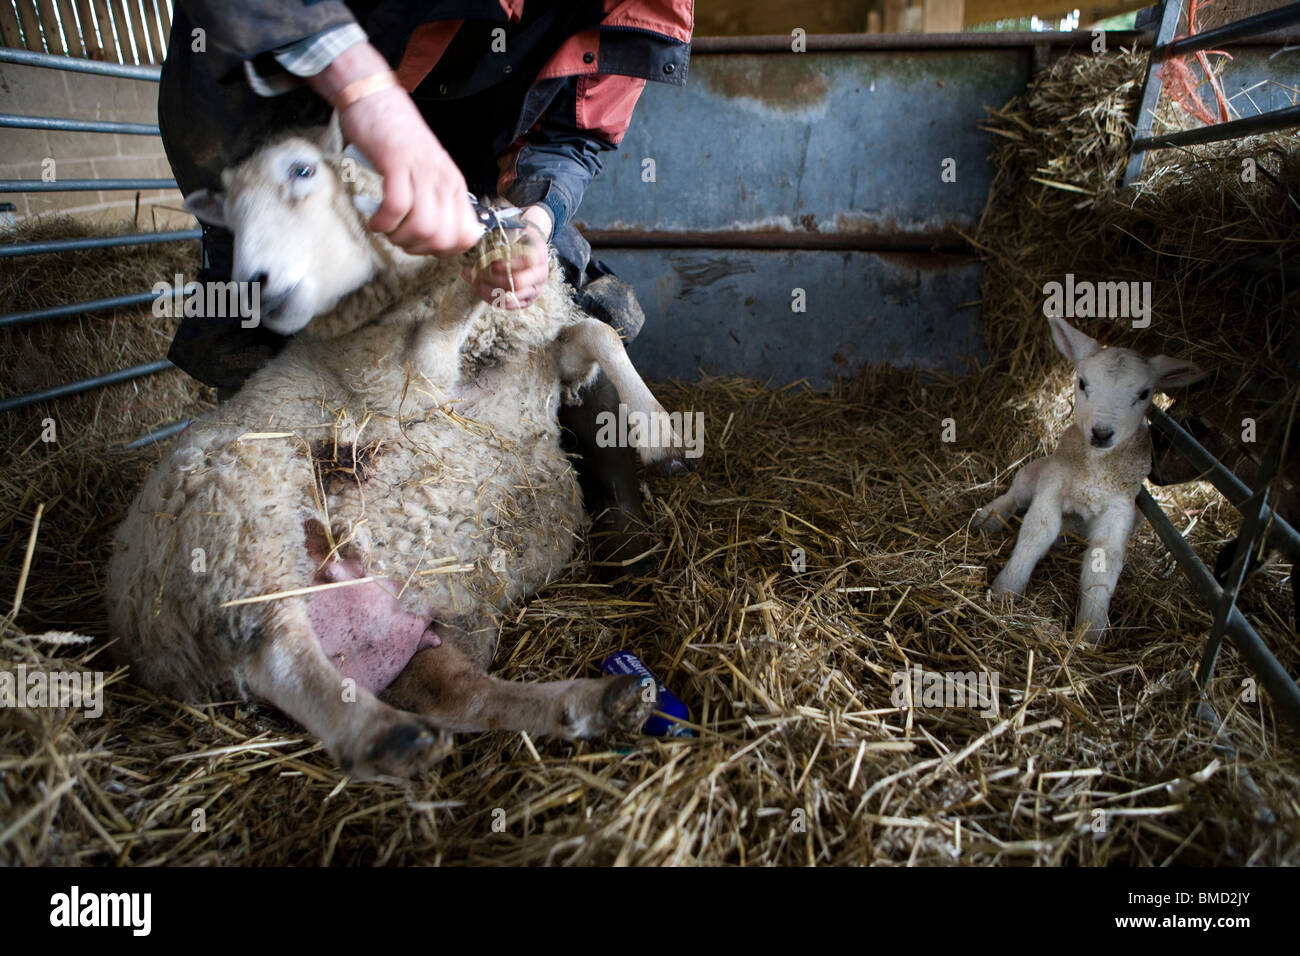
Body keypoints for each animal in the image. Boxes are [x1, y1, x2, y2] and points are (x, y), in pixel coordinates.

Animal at [105, 128, 691, 780]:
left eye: (302, 171)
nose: (251, 286)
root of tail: (143, 640)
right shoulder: (415, 383)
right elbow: (450, 320)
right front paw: (478, 261)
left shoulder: (538, 365)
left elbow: (597, 333)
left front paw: (660, 436)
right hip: (235, 532)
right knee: (278, 652)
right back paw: (381, 736)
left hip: (433, 619)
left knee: (462, 696)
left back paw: (599, 702)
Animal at [972, 316, 1201, 642]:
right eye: (1082, 383)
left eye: (1144, 394)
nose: (1102, 433)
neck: (1093, 474)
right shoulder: (1053, 483)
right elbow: (1036, 532)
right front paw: (1006, 591)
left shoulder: (1120, 507)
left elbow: (1103, 559)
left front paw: (1090, 632)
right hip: (1037, 470)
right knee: (1016, 492)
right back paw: (988, 517)